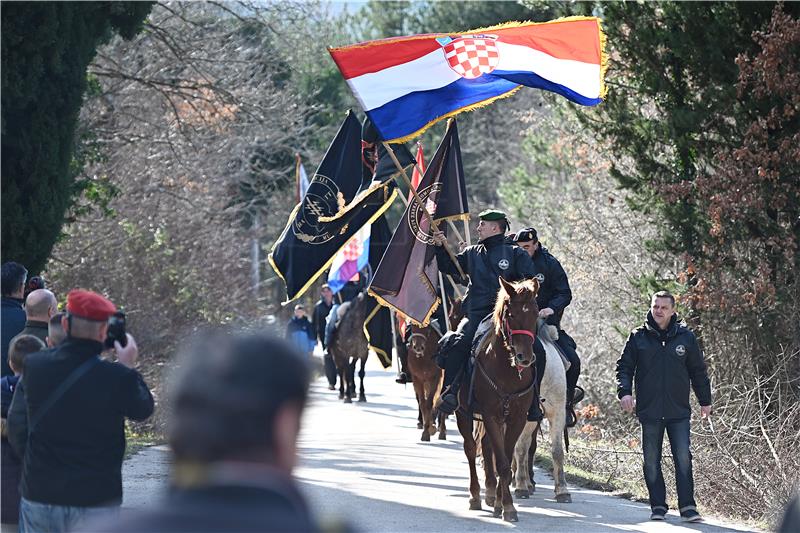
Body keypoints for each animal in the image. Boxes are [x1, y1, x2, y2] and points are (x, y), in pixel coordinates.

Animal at [456, 276, 536, 520]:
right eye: (511, 314)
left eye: (535, 313)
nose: (524, 357)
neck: (507, 370)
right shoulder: (491, 415)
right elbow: (500, 462)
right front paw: (508, 506)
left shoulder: (516, 418)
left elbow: (506, 462)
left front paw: (502, 504)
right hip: (464, 414)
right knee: (470, 448)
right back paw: (475, 496)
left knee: (485, 445)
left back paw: (491, 494)